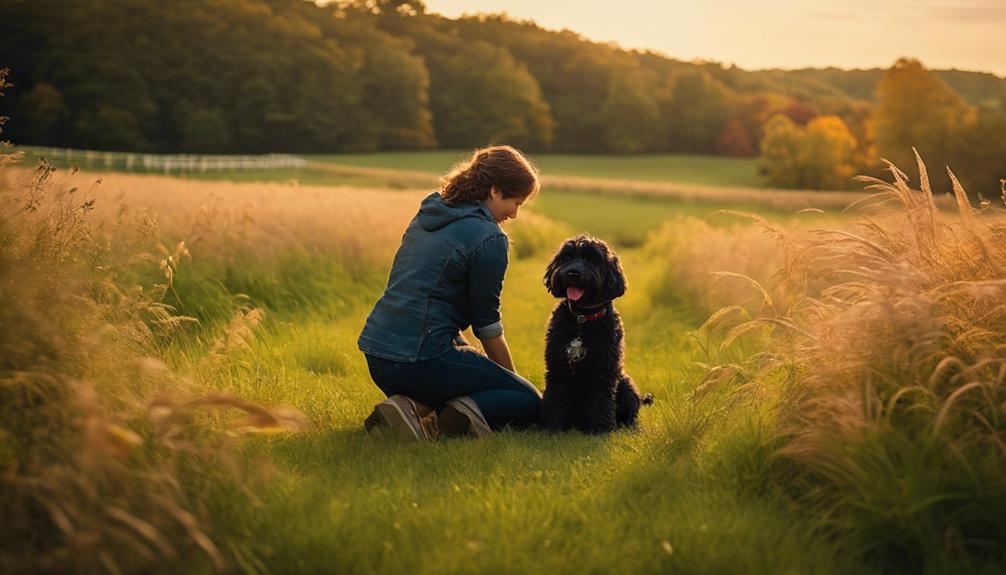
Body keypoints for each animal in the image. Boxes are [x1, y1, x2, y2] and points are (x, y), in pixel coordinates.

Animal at [543, 232, 651, 430]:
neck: (583, 319)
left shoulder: (604, 370)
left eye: (591, 259)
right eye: (566, 257)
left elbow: (601, 402)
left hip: (625, 384)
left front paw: (600, 428)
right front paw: (552, 426)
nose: (572, 273)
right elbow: (555, 398)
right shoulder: (557, 367)